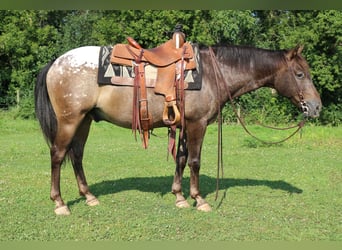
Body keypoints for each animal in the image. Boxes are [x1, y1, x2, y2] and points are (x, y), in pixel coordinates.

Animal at [34, 43, 320, 215]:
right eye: (299, 74)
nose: (316, 107)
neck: (214, 73)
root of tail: (56, 62)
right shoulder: (197, 124)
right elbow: (194, 161)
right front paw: (199, 199)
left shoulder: (184, 124)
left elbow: (181, 159)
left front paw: (180, 196)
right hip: (70, 120)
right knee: (58, 155)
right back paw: (60, 203)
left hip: (84, 121)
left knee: (77, 156)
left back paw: (89, 196)